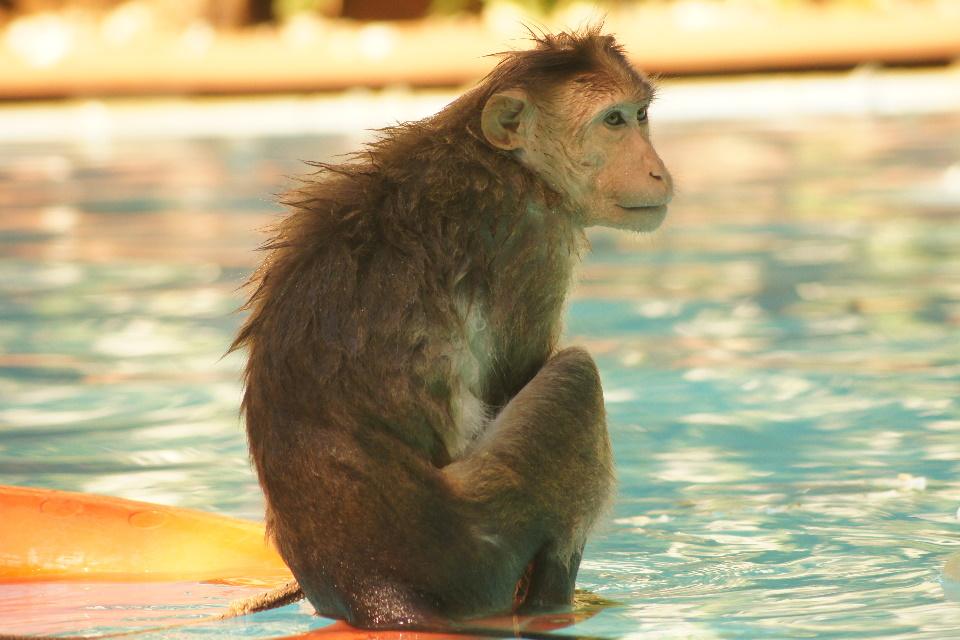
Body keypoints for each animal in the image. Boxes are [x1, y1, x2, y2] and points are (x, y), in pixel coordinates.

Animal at [230, 27, 673, 631]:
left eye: (640, 115)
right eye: (613, 121)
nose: (658, 171)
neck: (504, 161)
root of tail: (371, 584)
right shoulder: (534, 238)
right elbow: (514, 377)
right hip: (480, 542)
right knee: (575, 375)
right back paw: (553, 603)